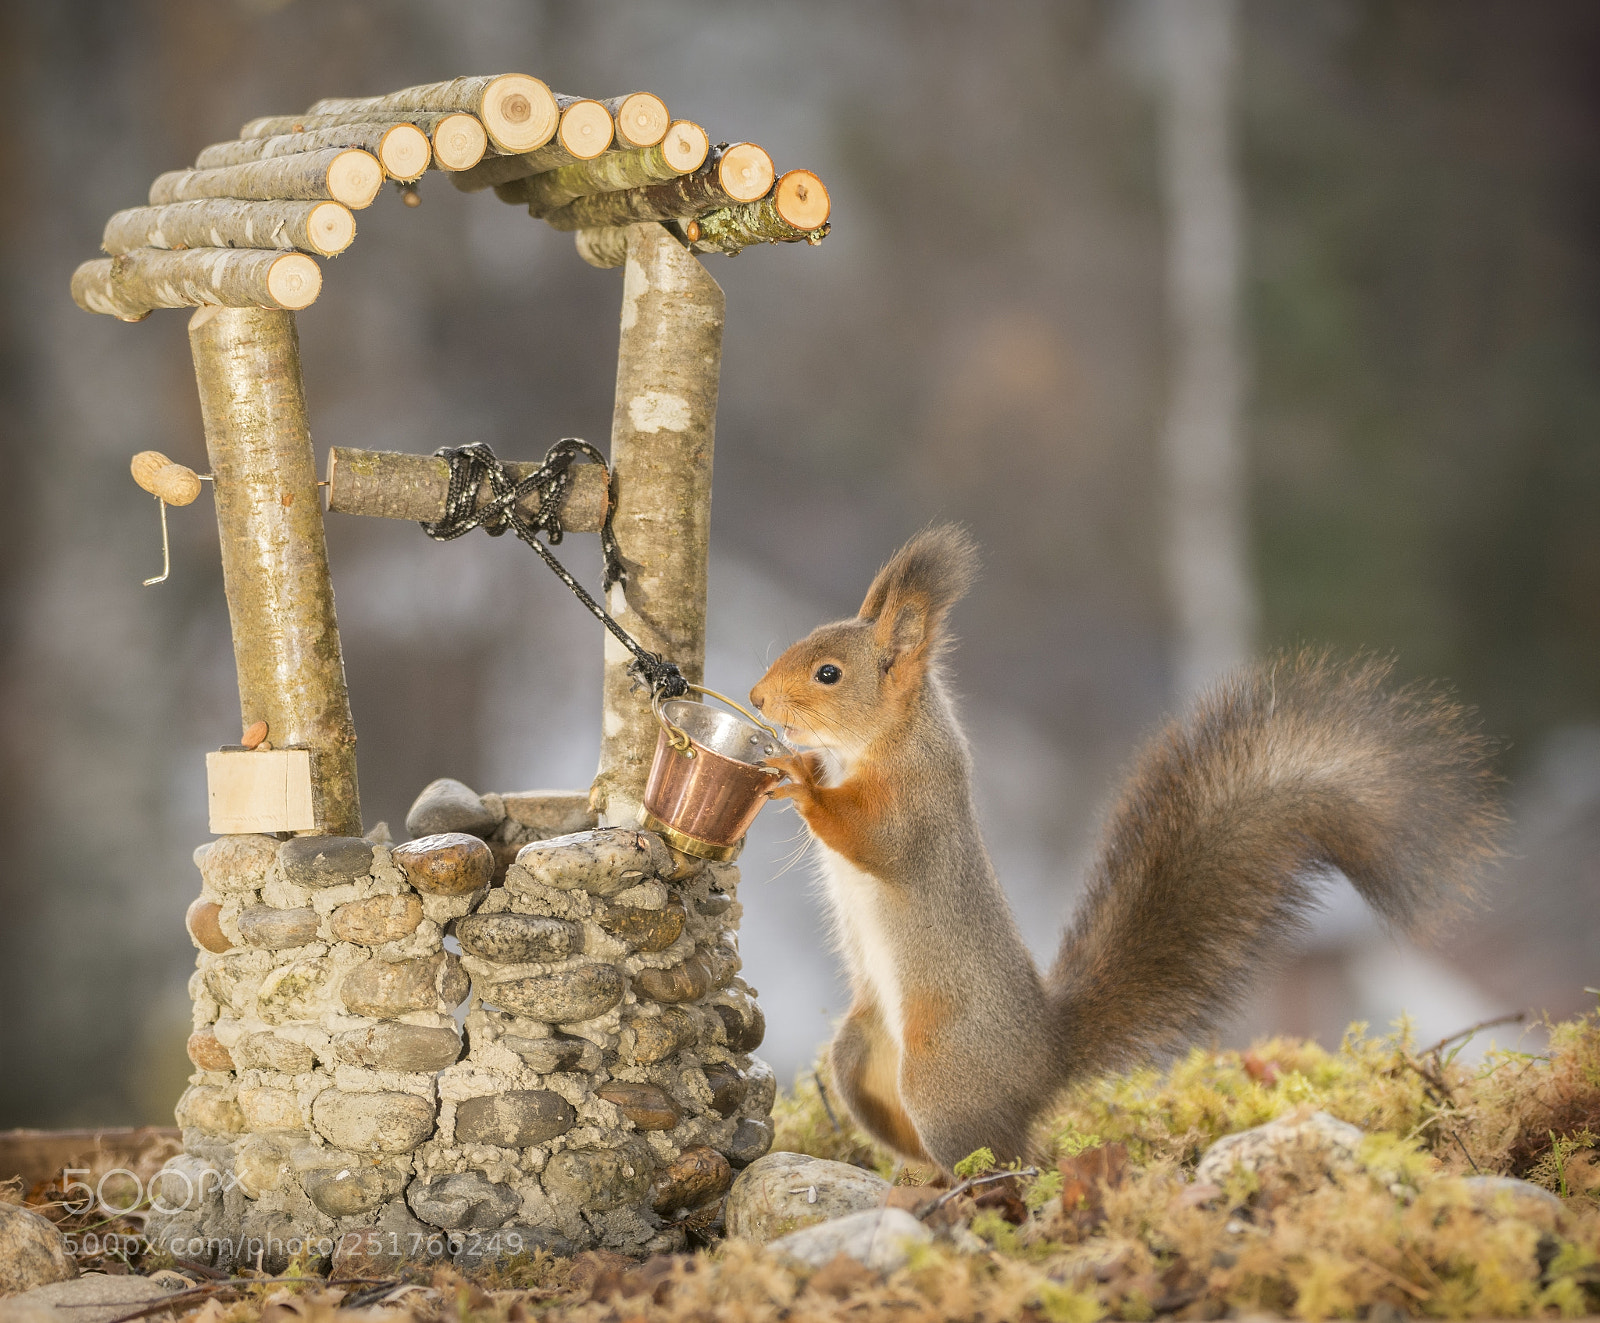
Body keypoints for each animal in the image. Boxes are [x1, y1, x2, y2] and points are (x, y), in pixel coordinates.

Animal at [748, 525, 1503, 1172]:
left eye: (827, 674)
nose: (755, 697)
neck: (887, 740)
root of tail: (1044, 1059)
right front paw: (796, 766)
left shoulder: (916, 810)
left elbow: (870, 838)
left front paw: (799, 781)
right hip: (860, 1053)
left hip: (944, 1081)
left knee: (1010, 1159)